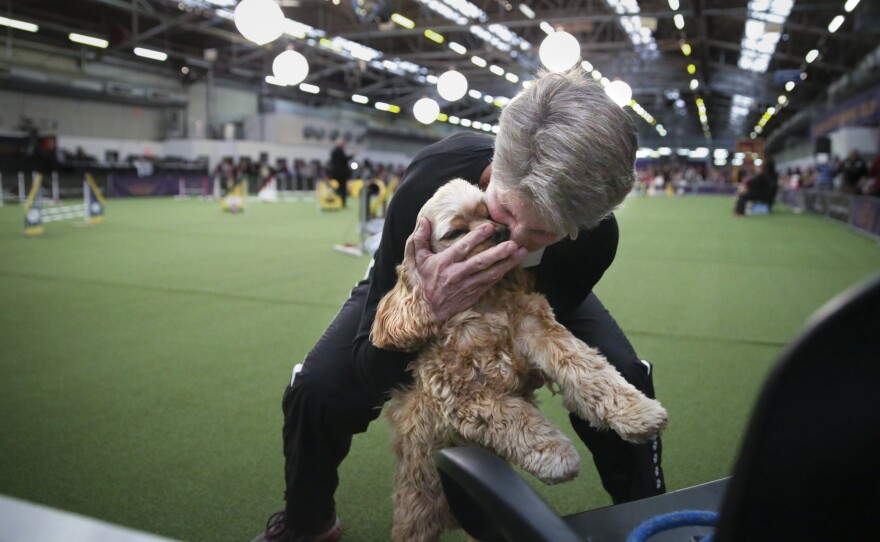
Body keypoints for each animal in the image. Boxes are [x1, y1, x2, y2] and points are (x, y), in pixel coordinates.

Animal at [372, 180, 668, 542]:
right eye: (456, 232)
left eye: (488, 213)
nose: (500, 231)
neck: (484, 303)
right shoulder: (460, 394)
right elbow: (516, 417)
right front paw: (557, 456)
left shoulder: (538, 330)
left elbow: (590, 370)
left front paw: (640, 412)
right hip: (418, 506)